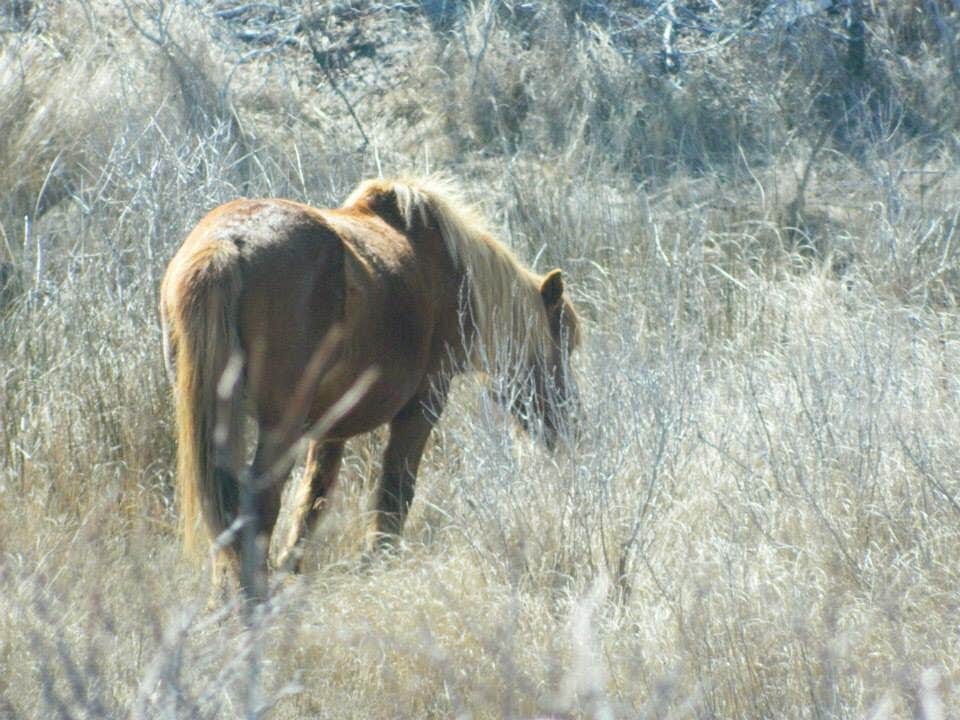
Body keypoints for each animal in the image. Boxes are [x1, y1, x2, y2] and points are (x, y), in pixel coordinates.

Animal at [160, 176, 582, 601]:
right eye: (562, 344)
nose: (566, 425)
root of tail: (227, 245)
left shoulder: (330, 428)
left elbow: (313, 497)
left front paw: (293, 568)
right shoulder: (424, 404)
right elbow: (395, 489)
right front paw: (378, 559)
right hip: (280, 426)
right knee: (257, 503)